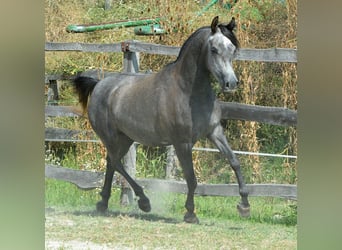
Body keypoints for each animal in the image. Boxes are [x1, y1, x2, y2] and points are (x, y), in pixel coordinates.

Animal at [75, 16, 250, 223]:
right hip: (110, 137)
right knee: (116, 163)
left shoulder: (214, 131)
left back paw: (103, 203)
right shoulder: (182, 142)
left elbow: (234, 161)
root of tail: (99, 85)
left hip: (126, 138)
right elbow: (191, 178)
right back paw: (143, 201)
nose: (231, 83)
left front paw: (244, 205)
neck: (188, 91)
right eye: (214, 49)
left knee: (112, 163)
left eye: (232, 49)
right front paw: (190, 213)